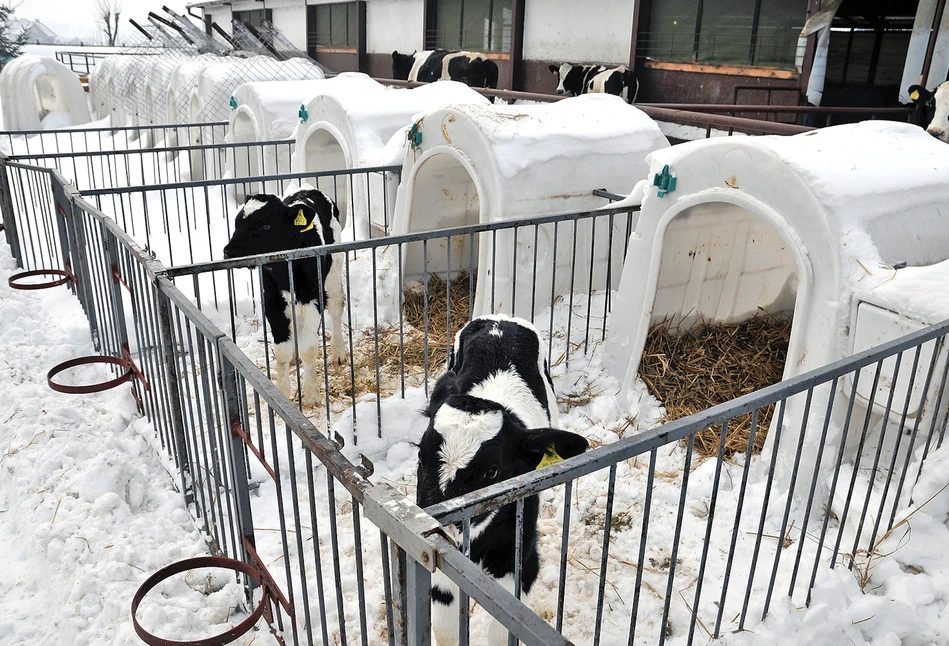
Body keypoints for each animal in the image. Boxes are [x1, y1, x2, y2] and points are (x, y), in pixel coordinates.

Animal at [222, 190, 344, 408]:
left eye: (265, 225)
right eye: (237, 223)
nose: (228, 252)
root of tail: (310, 190)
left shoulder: (313, 297)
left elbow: (309, 348)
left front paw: (312, 394)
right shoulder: (272, 301)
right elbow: (281, 351)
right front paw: (282, 392)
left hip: (334, 269)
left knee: (337, 307)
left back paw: (338, 352)